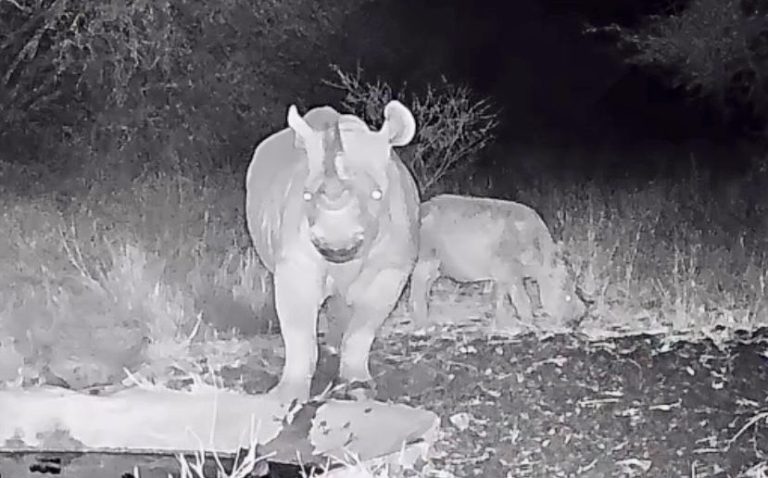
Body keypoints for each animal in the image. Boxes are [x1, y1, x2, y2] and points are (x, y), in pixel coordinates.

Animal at [245, 101, 419, 405]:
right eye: (306, 196)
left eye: (378, 195)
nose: (337, 247)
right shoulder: (297, 262)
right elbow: (298, 329)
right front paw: (286, 395)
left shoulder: (392, 266)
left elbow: (364, 327)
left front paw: (358, 386)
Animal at [408, 194, 588, 330]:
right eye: (564, 286)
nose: (581, 316)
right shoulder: (508, 269)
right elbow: (521, 297)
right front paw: (530, 323)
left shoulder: (501, 275)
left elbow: (500, 296)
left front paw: (503, 322)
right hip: (427, 257)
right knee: (418, 282)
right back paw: (424, 322)